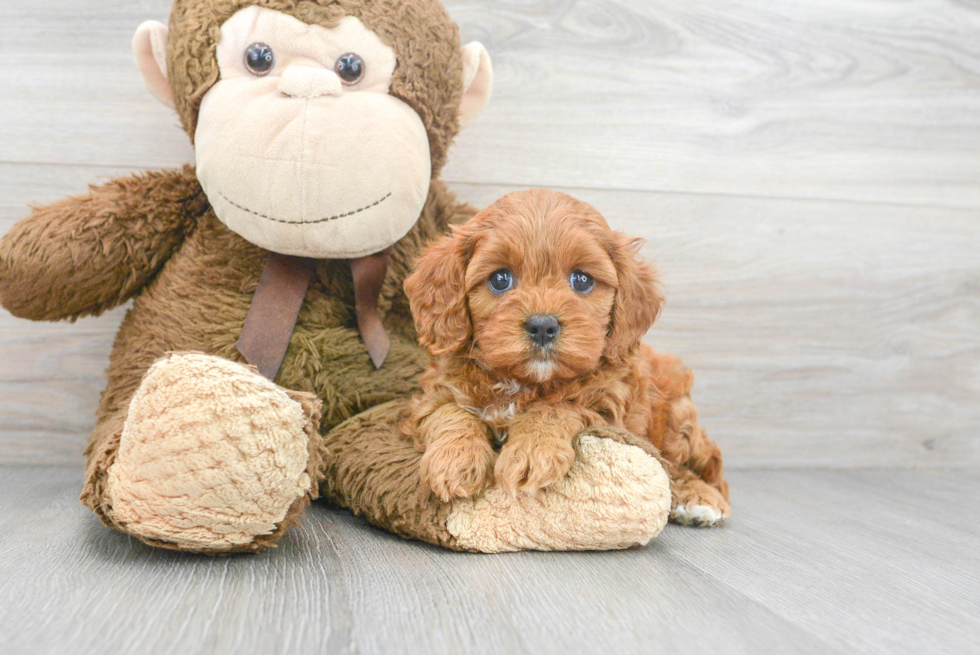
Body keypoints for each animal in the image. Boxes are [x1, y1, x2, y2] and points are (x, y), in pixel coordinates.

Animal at [402, 190, 732, 528]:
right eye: (500, 279)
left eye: (582, 280)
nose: (542, 326)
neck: (525, 383)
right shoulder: (435, 393)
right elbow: (450, 412)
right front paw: (455, 459)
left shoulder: (607, 402)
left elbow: (557, 407)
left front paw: (532, 451)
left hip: (677, 420)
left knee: (703, 469)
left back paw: (699, 500)